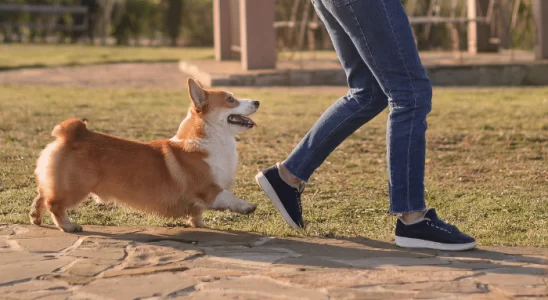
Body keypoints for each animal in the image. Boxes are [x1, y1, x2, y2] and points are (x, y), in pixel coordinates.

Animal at [29, 78, 260, 232]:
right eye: (230, 99)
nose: (257, 102)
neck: (211, 138)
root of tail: (72, 133)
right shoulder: (208, 189)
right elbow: (229, 196)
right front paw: (247, 206)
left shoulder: (200, 200)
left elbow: (196, 213)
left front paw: (199, 224)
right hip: (76, 187)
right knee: (54, 203)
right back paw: (69, 226)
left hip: (60, 183)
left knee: (42, 195)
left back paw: (35, 217)